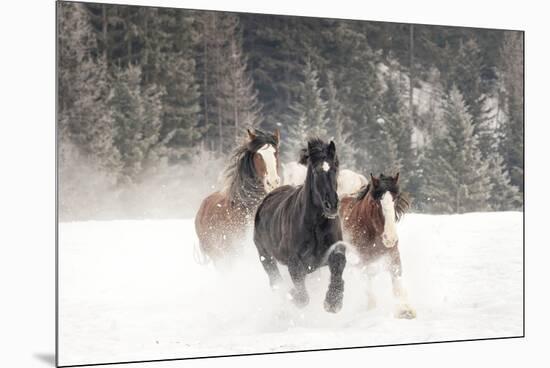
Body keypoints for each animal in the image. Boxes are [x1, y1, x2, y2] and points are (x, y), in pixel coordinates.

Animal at [253, 139, 348, 314]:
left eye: (335, 168)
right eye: (316, 171)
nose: (331, 205)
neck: (316, 225)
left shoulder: (333, 250)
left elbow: (338, 264)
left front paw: (333, 301)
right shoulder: (295, 262)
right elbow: (302, 297)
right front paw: (293, 296)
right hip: (265, 256)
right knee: (275, 280)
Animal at [338, 174, 416, 318]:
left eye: (395, 199)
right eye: (375, 203)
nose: (390, 238)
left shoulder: (393, 255)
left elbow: (397, 284)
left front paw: (405, 309)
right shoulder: (360, 261)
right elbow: (367, 287)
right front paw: (371, 308)